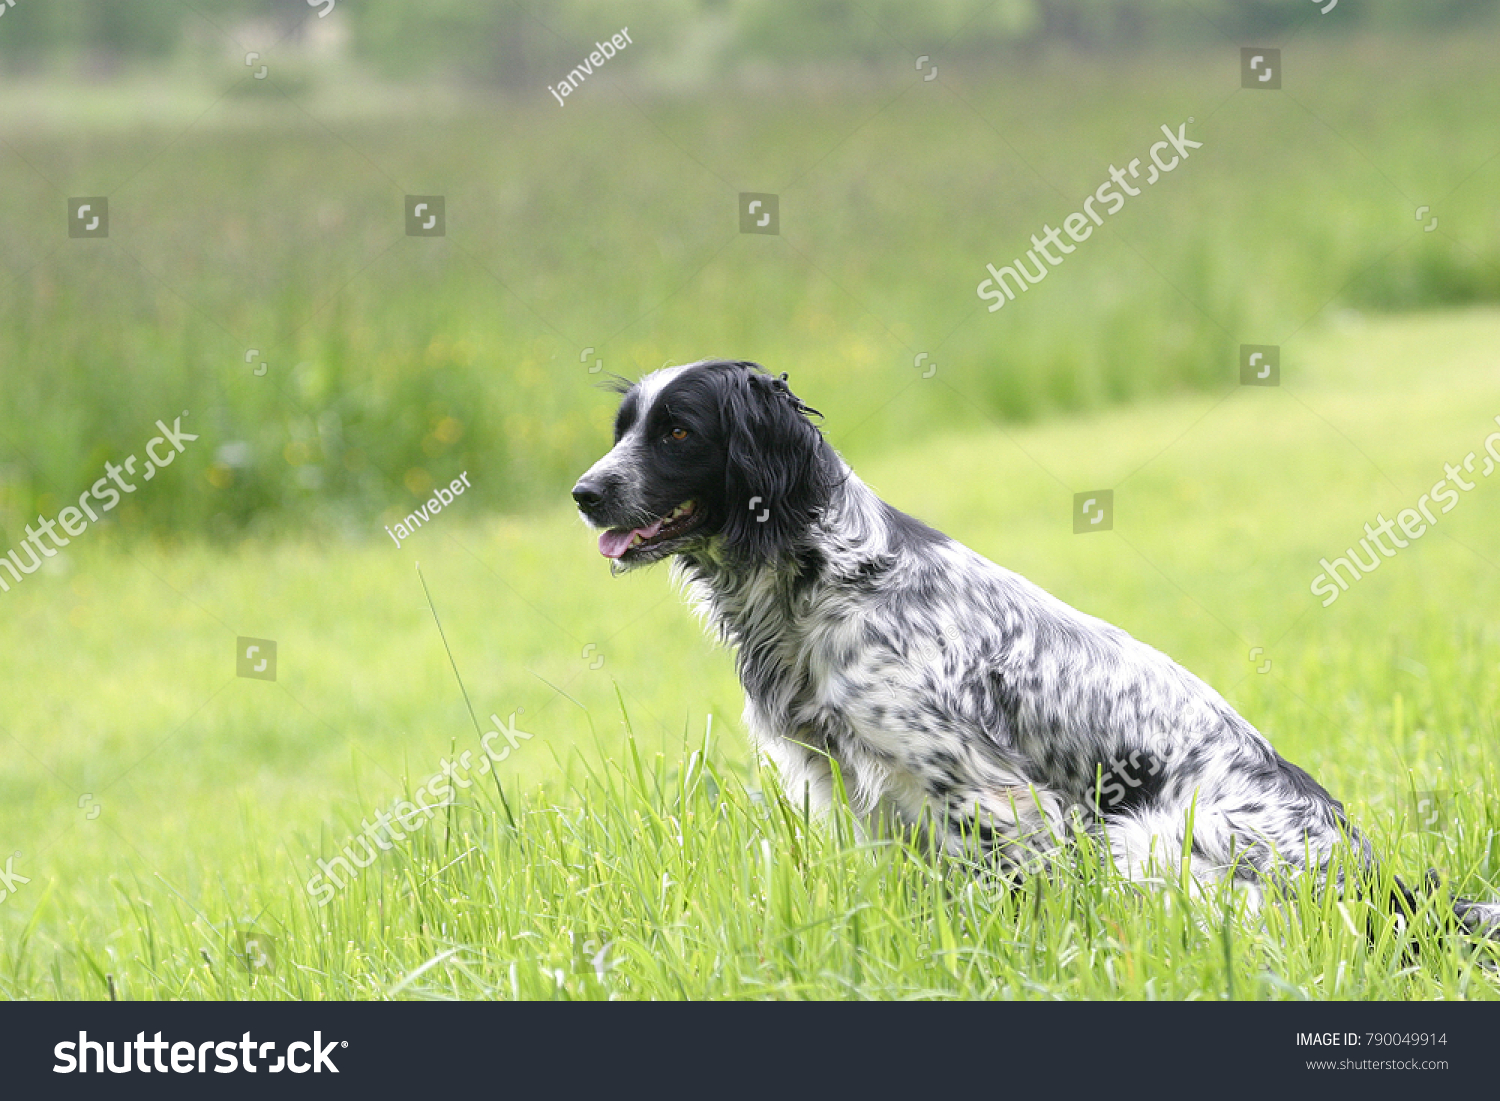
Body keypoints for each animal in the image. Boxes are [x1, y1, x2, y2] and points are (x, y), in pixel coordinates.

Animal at [570, 363, 1500, 942]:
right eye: (623, 430)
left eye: (678, 433)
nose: (583, 492)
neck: (827, 577)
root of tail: (1382, 883)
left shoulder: (999, 798)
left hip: (1149, 835)